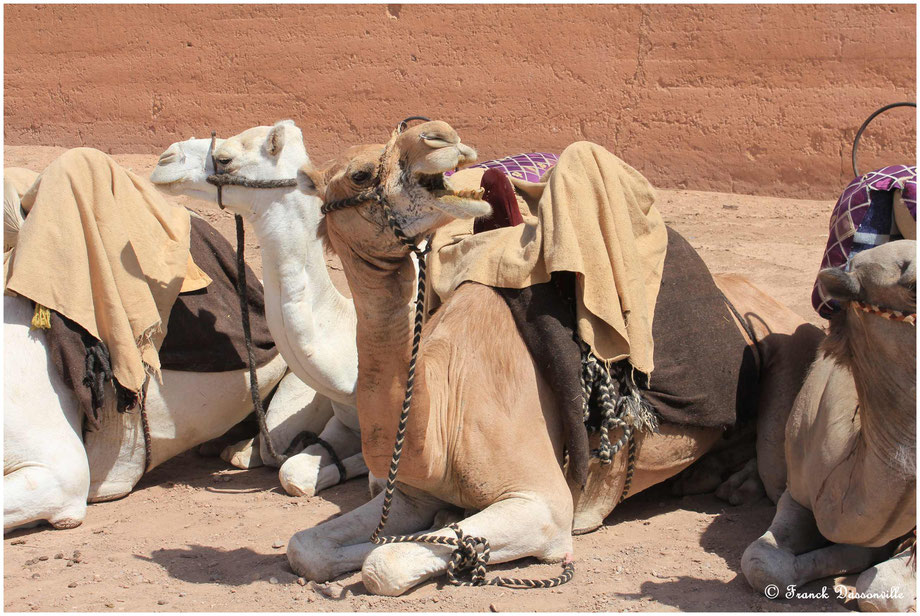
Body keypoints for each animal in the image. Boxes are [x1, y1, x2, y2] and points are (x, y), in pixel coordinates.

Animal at [288, 121, 820, 596]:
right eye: (360, 174)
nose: (440, 136)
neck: (442, 415)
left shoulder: (543, 505)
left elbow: (385, 565)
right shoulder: (412, 492)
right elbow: (307, 547)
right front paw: (439, 519)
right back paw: (709, 477)